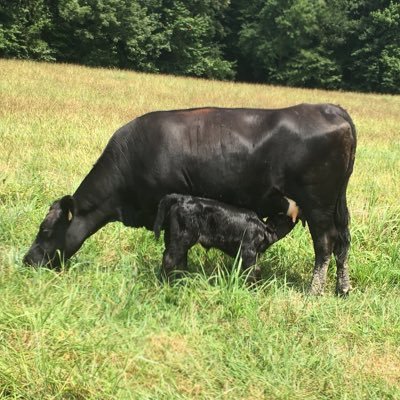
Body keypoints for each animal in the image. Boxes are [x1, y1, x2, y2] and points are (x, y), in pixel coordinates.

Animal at [153, 193, 300, 282]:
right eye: (283, 216)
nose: (297, 214)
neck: (263, 230)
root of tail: (183, 198)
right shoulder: (248, 252)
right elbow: (252, 271)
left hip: (174, 238)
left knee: (179, 260)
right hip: (183, 238)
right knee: (169, 259)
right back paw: (166, 283)